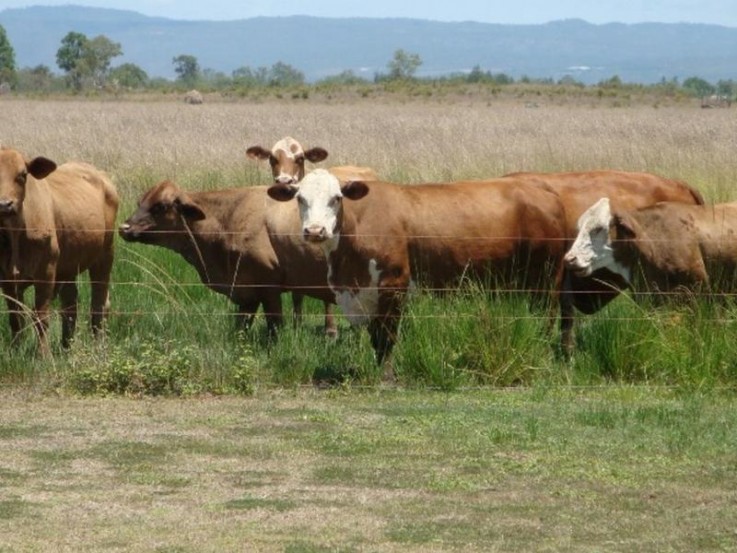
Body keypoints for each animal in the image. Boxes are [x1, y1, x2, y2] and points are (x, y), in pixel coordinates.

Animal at [0, 147, 118, 354]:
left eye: (22, 175)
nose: (4, 204)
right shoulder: (6, 278)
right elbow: (15, 318)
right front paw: (15, 350)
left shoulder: (46, 272)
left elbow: (40, 316)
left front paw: (43, 354)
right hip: (68, 265)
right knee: (70, 304)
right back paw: (66, 346)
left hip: (105, 255)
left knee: (100, 302)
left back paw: (99, 346)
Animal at [119, 181, 338, 336]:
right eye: (140, 203)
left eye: (161, 206)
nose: (124, 227)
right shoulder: (246, 290)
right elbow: (241, 327)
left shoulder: (268, 286)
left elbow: (274, 326)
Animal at [268, 170, 568, 374]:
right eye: (300, 199)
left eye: (336, 198)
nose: (315, 231)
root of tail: (542, 189)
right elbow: (375, 337)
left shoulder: (393, 285)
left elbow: (386, 338)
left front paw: (385, 375)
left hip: (545, 279)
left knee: (547, 317)